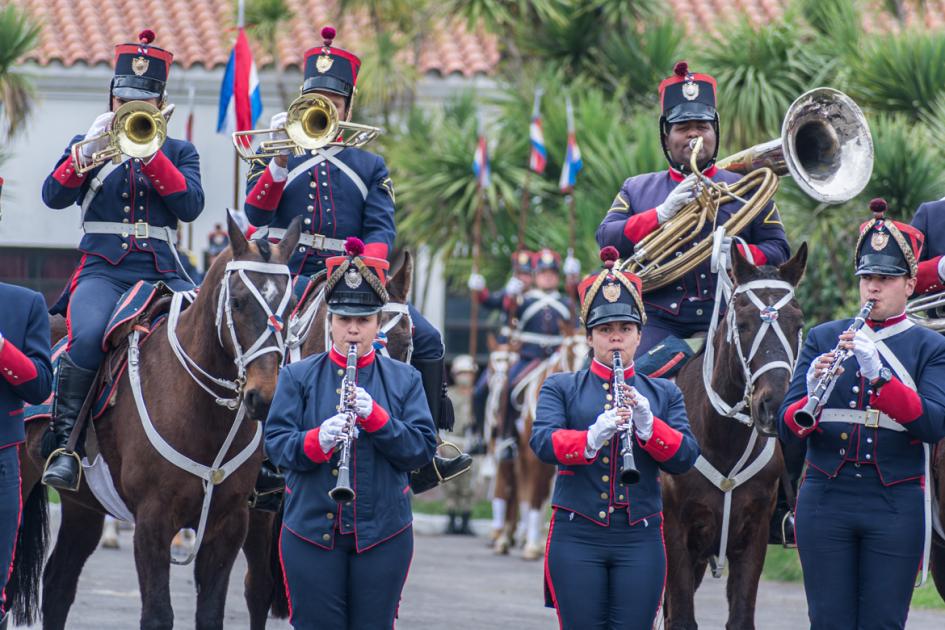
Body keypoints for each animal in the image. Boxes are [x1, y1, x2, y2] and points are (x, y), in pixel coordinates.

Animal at [9, 218, 300, 630]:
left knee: (58, 585)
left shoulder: (229, 523)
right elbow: (158, 614)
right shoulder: (152, 520)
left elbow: (211, 615)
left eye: (289, 306)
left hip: (85, 506)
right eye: (238, 301)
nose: (266, 396)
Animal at [660, 244, 808, 628]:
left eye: (798, 324)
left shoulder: (753, 536)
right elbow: (680, 617)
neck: (722, 439)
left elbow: (741, 618)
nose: (774, 404)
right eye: (742, 324)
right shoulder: (675, 536)